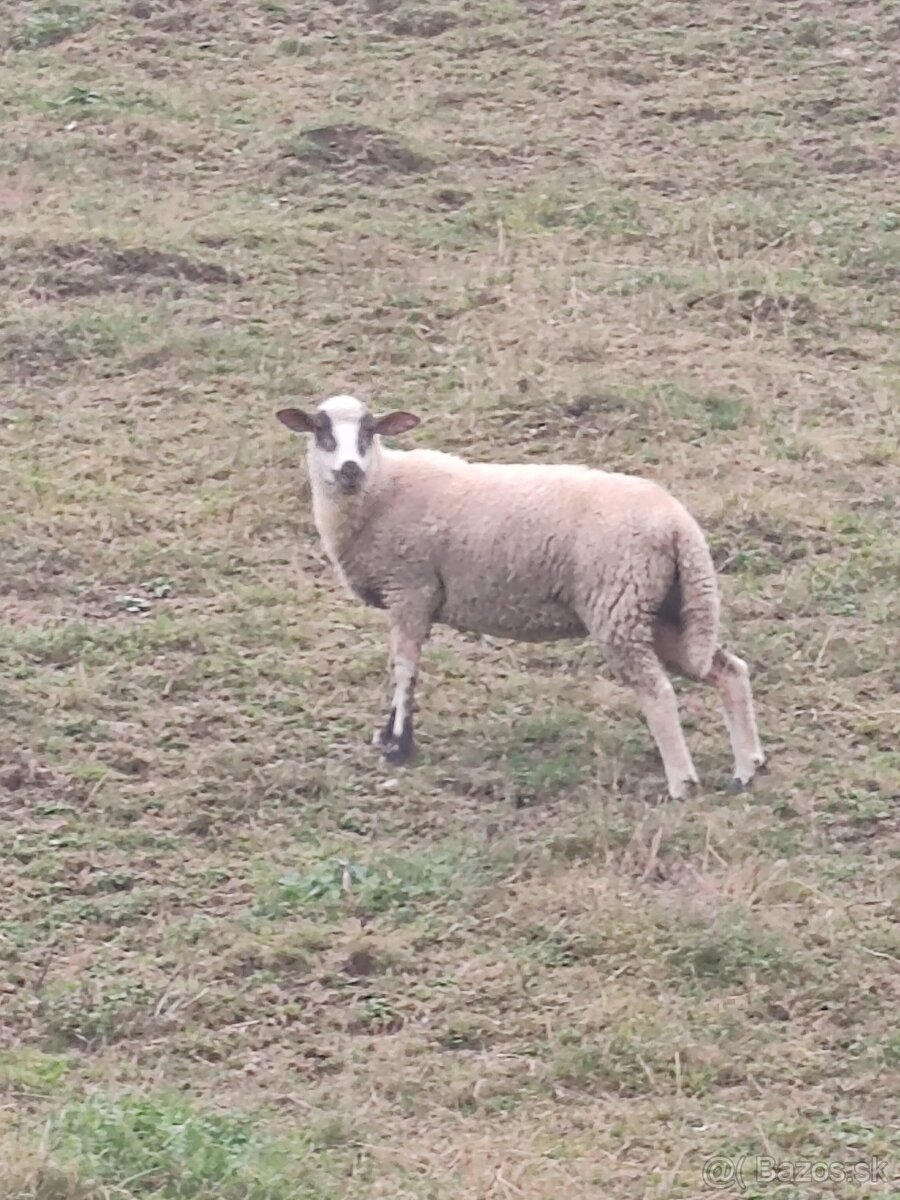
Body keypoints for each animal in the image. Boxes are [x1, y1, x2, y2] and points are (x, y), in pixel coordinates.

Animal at [277, 393, 768, 801]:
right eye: (320, 429)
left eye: (369, 430)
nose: (349, 468)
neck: (383, 485)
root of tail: (679, 525)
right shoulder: (409, 595)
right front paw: (390, 737)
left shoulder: (412, 590)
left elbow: (404, 669)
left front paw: (399, 744)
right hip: (665, 609)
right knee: (729, 670)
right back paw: (746, 769)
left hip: (619, 604)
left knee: (659, 691)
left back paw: (682, 783)